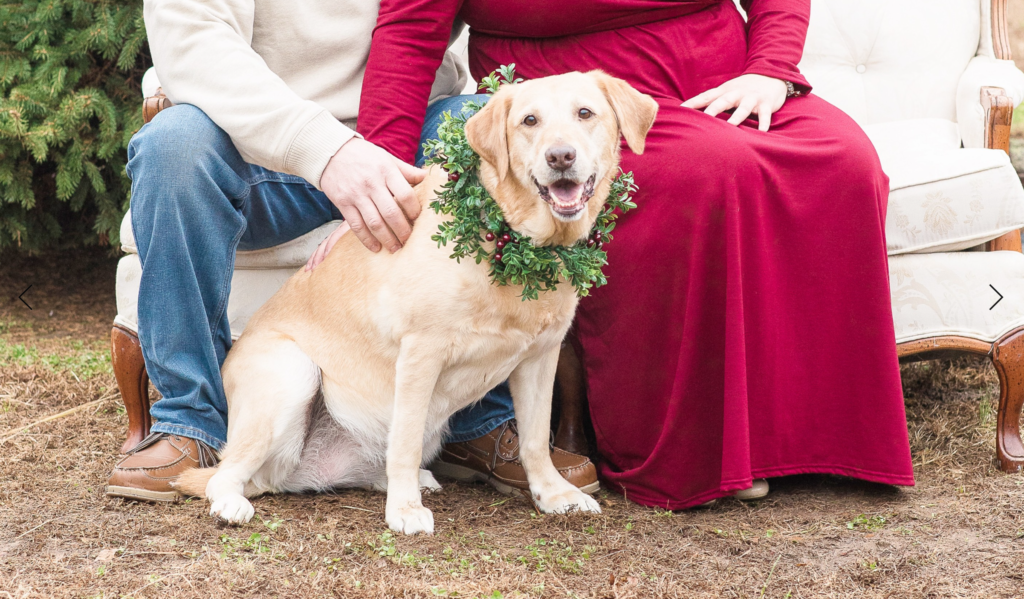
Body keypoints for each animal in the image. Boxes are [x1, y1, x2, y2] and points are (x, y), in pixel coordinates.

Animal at [176, 69, 655, 532]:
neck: (512, 241)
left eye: (585, 113)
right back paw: (232, 503)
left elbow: (536, 440)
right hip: (293, 374)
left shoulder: (541, 356)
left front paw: (554, 494)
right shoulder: (421, 352)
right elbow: (403, 441)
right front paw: (404, 511)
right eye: (529, 121)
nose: (560, 157)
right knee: (228, 475)